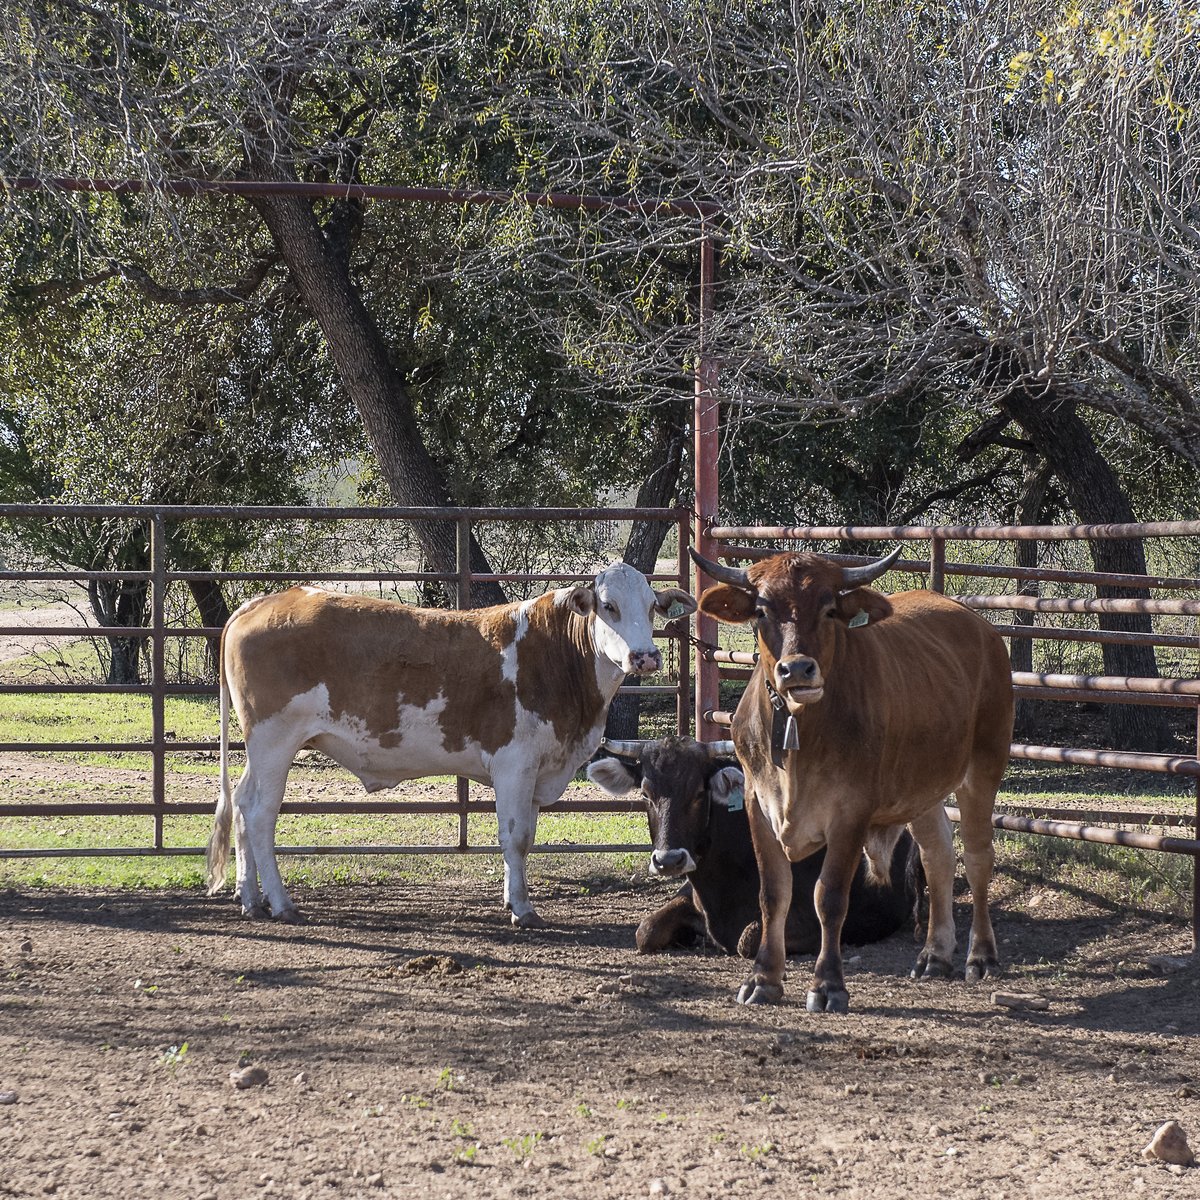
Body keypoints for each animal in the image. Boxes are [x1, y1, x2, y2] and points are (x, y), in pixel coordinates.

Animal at [206, 564, 696, 926]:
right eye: (609, 606)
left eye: (652, 606)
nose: (645, 656)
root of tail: (263, 601)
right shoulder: (514, 763)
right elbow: (516, 837)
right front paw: (523, 909)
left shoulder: (539, 768)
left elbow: (527, 836)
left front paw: (510, 899)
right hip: (275, 739)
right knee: (261, 813)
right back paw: (280, 902)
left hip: (261, 746)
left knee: (244, 805)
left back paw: (250, 899)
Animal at [696, 547, 1012, 1012]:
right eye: (761, 610)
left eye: (829, 609)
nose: (797, 669)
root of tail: (979, 626)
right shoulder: (757, 803)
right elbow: (773, 894)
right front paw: (763, 979)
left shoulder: (851, 812)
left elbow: (829, 897)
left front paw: (828, 985)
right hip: (920, 789)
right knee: (937, 857)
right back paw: (935, 954)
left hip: (984, 767)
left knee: (977, 858)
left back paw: (982, 956)